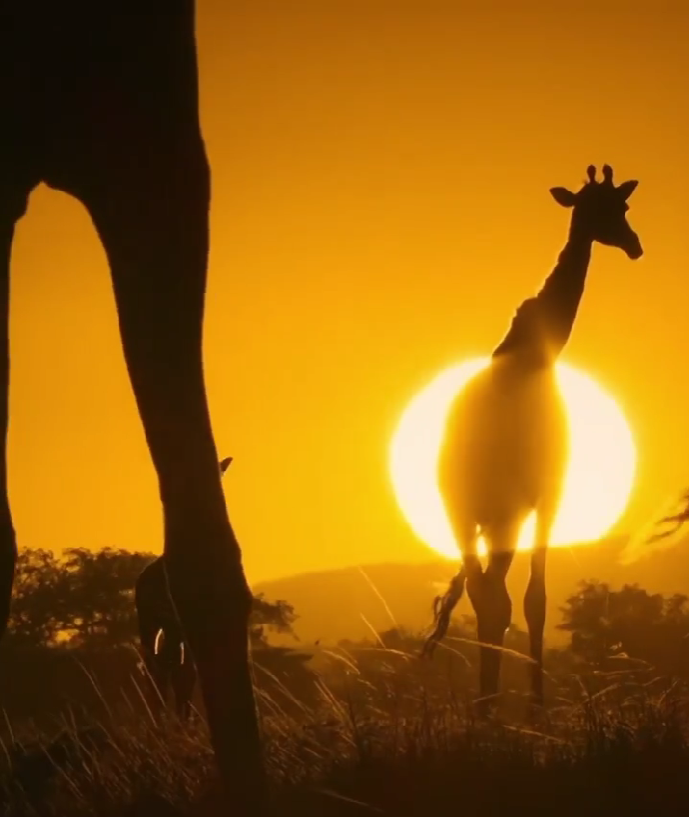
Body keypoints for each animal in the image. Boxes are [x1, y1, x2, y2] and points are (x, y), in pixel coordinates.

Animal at [423, 165, 643, 717]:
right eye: (601, 209)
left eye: (623, 206)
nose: (635, 246)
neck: (533, 355)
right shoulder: (543, 495)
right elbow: (528, 599)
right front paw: (537, 708)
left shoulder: (532, 502)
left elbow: (524, 598)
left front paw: (529, 703)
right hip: (489, 512)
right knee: (491, 594)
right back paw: (490, 705)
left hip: (477, 516)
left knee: (486, 590)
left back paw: (486, 702)